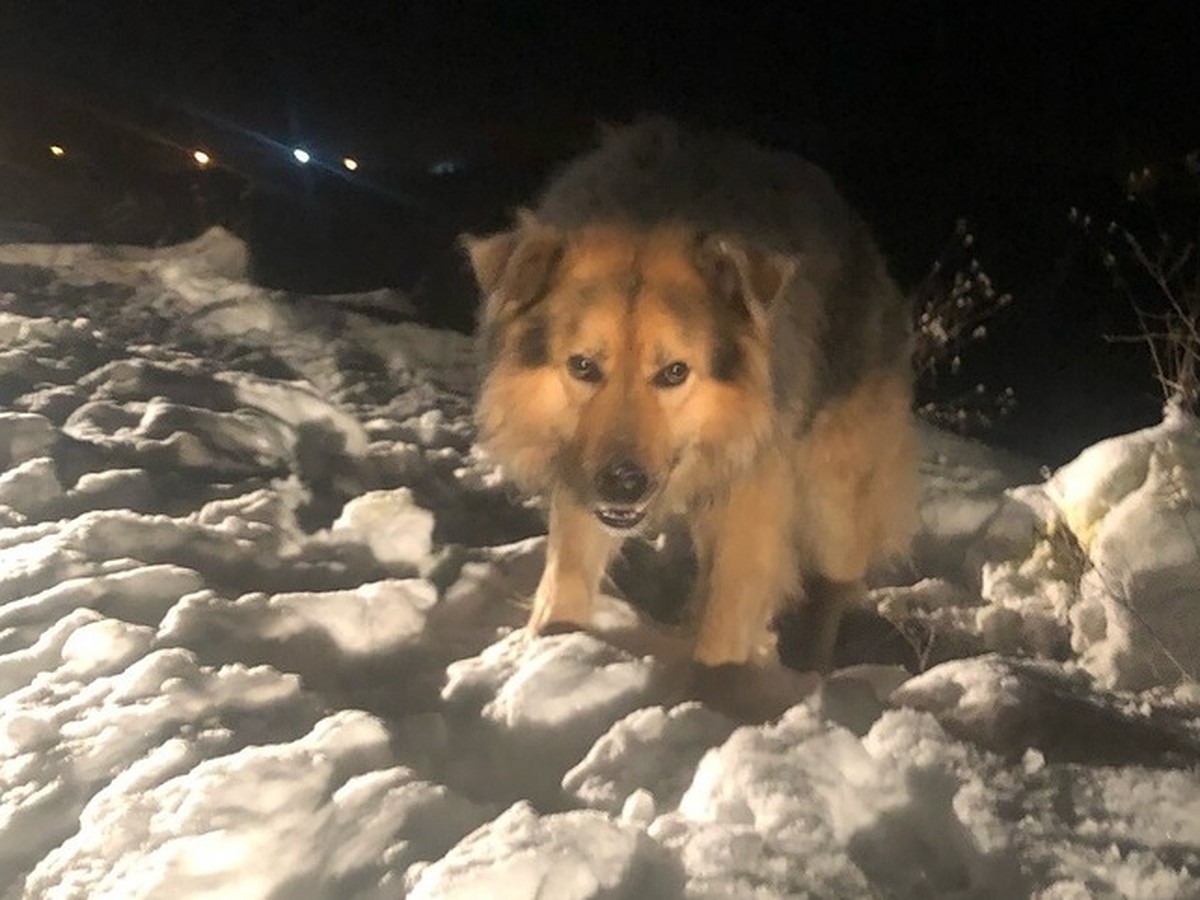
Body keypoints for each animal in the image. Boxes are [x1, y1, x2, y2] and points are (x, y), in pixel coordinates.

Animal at [463, 116, 912, 672]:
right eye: (583, 366)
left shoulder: (753, 492)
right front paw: (554, 647)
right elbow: (565, 576)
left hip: (836, 500)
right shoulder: (579, 471)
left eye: (675, 372)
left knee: (831, 586)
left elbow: (727, 619)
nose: (624, 485)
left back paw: (810, 668)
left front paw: (713, 689)